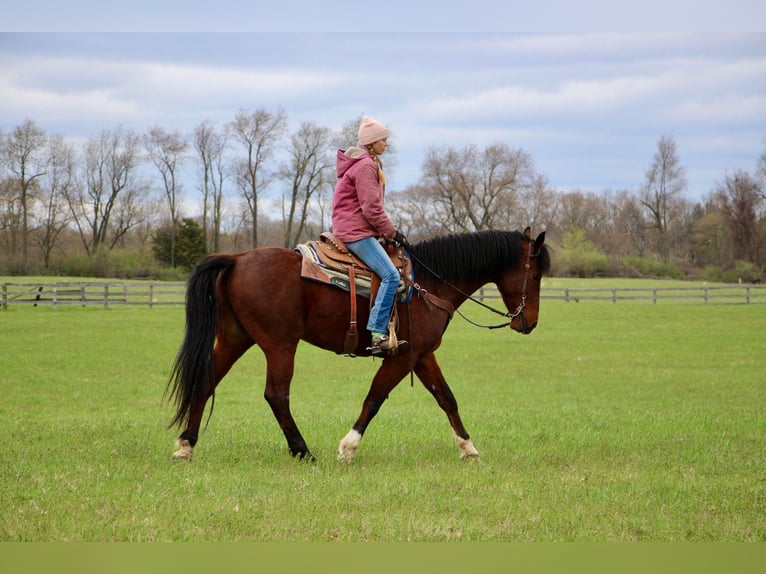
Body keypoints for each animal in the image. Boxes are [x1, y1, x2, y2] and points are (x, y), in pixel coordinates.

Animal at [168, 227, 552, 466]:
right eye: (535, 275)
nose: (529, 322)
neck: (429, 284)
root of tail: (237, 258)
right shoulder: (403, 356)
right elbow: (375, 397)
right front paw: (348, 448)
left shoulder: (422, 355)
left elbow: (447, 398)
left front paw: (469, 449)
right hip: (280, 345)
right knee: (276, 395)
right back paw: (303, 451)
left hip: (235, 338)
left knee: (205, 383)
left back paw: (186, 444)